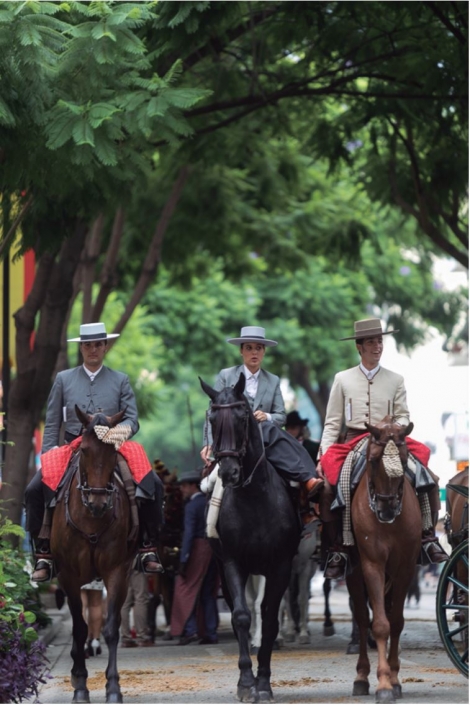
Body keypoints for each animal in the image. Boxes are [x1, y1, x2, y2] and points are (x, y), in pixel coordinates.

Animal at [50, 404, 137, 700]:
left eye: (113, 452)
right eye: (85, 450)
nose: (98, 502)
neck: (91, 518)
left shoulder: (116, 571)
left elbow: (111, 628)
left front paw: (113, 687)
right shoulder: (68, 575)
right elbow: (79, 627)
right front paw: (79, 684)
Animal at [200, 372, 300, 700]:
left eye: (243, 416)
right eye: (212, 417)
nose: (228, 471)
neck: (255, 497)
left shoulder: (280, 565)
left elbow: (269, 618)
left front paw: (264, 682)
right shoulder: (233, 563)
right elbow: (242, 616)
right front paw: (246, 682)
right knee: (238, 611)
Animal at [346, 416, 422, 700]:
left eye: (404, 459)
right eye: (373, 460)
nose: (387, 508)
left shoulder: (406, 568)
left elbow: (396, 621)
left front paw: (394, 678)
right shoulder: (372, 565)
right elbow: (379, 624)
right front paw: (383, 684)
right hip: (353, 574)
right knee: (361, 619)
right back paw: (361, 676)